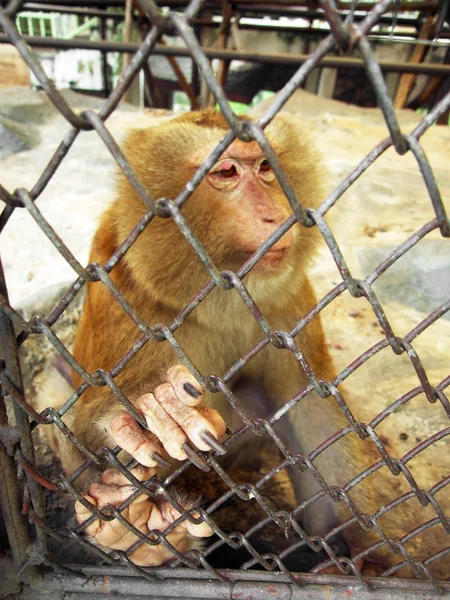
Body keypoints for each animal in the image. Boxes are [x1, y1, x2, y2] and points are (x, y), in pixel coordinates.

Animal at [51, 110, 394, 576]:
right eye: (227, 172)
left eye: (265, 167)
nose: (275, 217)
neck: (220, 290)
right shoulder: (118, 285)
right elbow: (83, 422)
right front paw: (160, 410)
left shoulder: (289, 302)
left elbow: (316, 406)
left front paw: (353, 547)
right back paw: (145, 541)